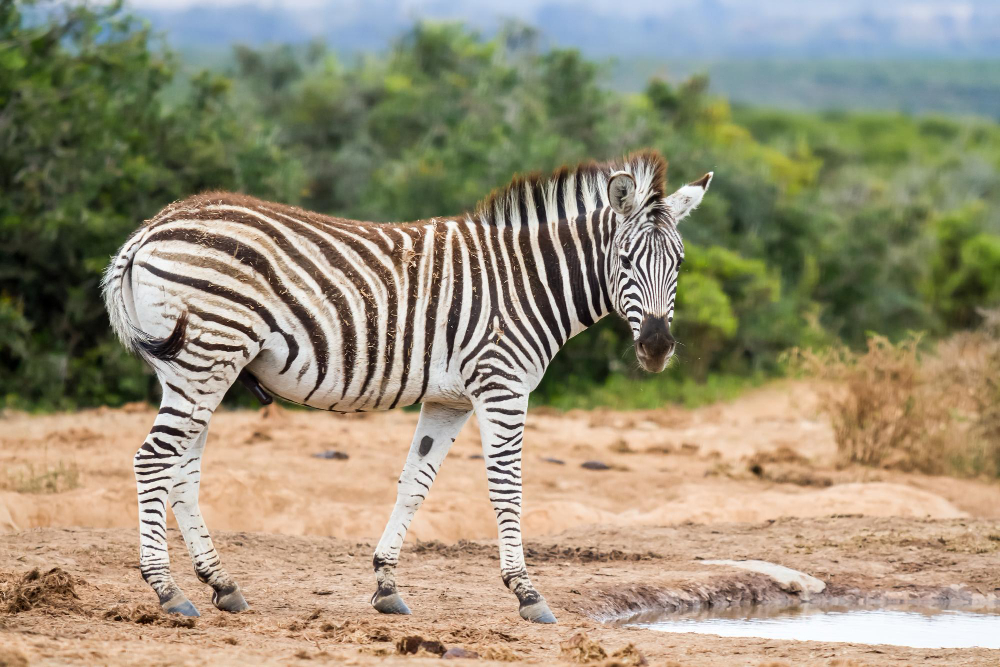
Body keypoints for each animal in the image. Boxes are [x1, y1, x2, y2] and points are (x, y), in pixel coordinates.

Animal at [102, 149, 712, 624]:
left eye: (680, 262)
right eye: (625, 258)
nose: (657, 347)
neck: (527, 281)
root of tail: (151, 228)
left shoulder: (448, 399)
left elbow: (414, 484)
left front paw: (386, 585)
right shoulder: (501, 385)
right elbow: (506, 488)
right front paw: (527, 592)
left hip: (197, 368)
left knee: (181, 469)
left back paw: (222, 585)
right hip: (207, 355)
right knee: (154, 460)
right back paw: (168, 591)